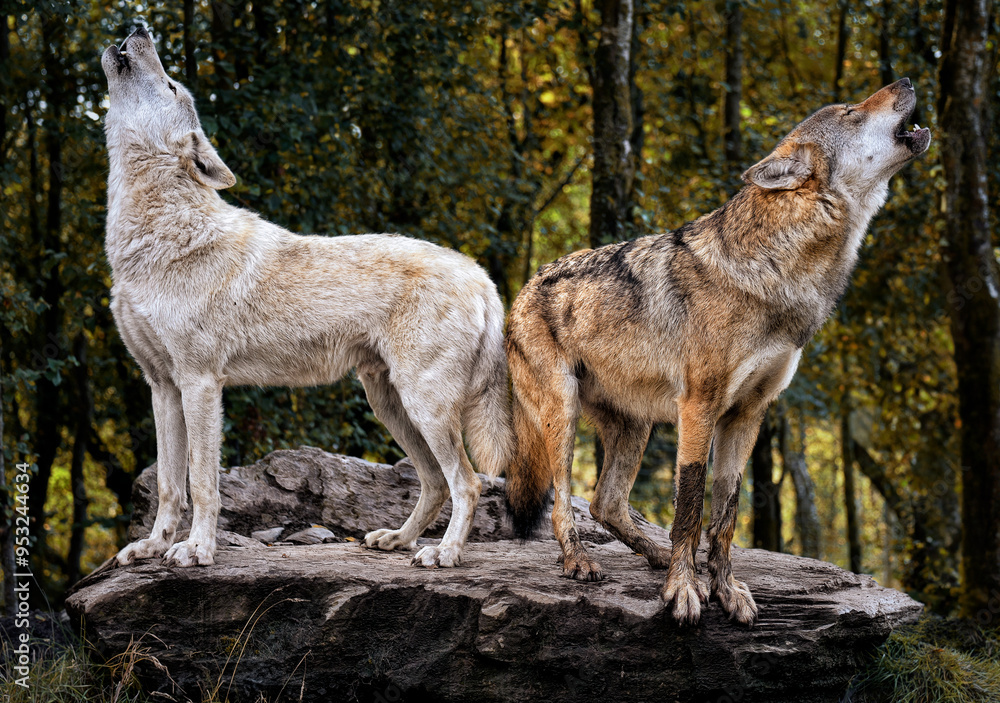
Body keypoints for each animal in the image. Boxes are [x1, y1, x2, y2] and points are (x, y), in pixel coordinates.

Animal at [101, 26, 512, 569]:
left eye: (170, 86)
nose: (138, 27)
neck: (156, 239)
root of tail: (481, 276)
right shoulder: (162, 386)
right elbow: (170, 484)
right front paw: (152, 546)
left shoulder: (201, 383)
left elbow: (203, 483)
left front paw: (197, 550)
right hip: (390, 404)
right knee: (433, 482)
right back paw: (398, 540)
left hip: (424, 405)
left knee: (466, 482)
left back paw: (442, 554)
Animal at [505, 79, 930, 625]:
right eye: (852, 112)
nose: (908, 82)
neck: (780, 270)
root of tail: (521, 289)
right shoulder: (699, 406)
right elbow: (689, 504)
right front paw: (684, 590)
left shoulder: (749, 412)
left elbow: (726, 511)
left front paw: (725, 589)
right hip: (564, 412)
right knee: (562, 501)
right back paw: (580, 561)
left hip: (636, 427)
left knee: (606, 503)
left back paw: (654, 555)